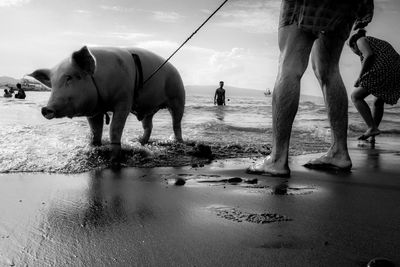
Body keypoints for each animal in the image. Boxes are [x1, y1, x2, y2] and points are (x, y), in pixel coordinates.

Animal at [29, 46, 186, 165]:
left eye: (70, 77)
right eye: (53, 84)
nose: (45, 109)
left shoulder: (124, 100)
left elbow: (114, 130)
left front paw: (113, 160)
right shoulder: (94, 111)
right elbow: (95, 132)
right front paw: (94, 148)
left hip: (178, 97)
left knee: (176, 124)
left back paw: (179, 143)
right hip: (149, 109)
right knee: (148, 126)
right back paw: (140, 142)